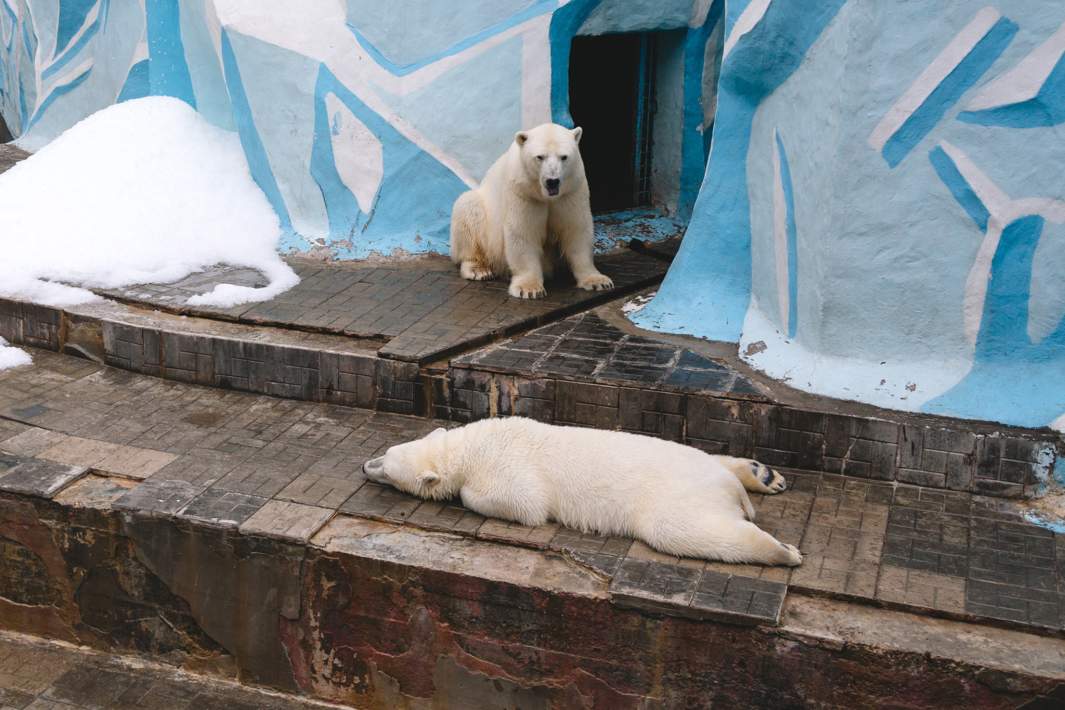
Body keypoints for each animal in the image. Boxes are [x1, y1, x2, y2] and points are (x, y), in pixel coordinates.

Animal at [362, 417, 800, 566]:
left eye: (386, 466)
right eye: (384, 454)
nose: (365, 465)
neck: (469, 446)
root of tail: (726, 487)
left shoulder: (509, 468)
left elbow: (524, 503)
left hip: (677, 496)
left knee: (682, 531)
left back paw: (785, 551)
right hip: (691, 457)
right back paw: (764, 475)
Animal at [449, 122, 617, 300]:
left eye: (564, 157)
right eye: (540, 157)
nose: (552, 181)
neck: (545, 195)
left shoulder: (571, 190)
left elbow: (576, 230)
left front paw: (598, 281)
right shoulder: (523, 192)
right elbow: (523, 233)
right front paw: (529, 289)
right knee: (467, 207)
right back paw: (479, 270)